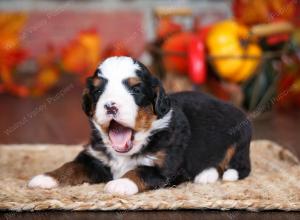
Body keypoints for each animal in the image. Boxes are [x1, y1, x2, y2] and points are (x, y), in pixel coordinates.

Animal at [29, 56, 252, 196]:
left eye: (135, 90)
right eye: (98, 91)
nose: (111, 106)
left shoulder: (166, 168)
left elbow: (140, 171)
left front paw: (120, 183)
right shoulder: (94, 157)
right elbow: (71, 165)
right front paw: (47, 178)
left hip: (240, 141)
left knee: (238, 166)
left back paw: (214, 174)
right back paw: (205, 174)